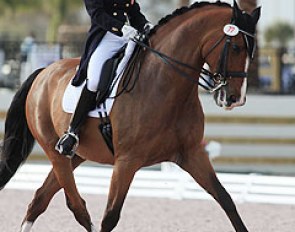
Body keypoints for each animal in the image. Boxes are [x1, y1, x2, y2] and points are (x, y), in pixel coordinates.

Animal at [0, 1, 260, 232]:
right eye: (236, 47)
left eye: (252, 52)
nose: (235, 98)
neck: (164, 84)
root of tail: (44, 72)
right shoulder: (127, 162)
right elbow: (110, 217)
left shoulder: (192, 154)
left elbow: (226, 200)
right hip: (55, 151)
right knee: (76, 205)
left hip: (76, 155)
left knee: (40, 199)